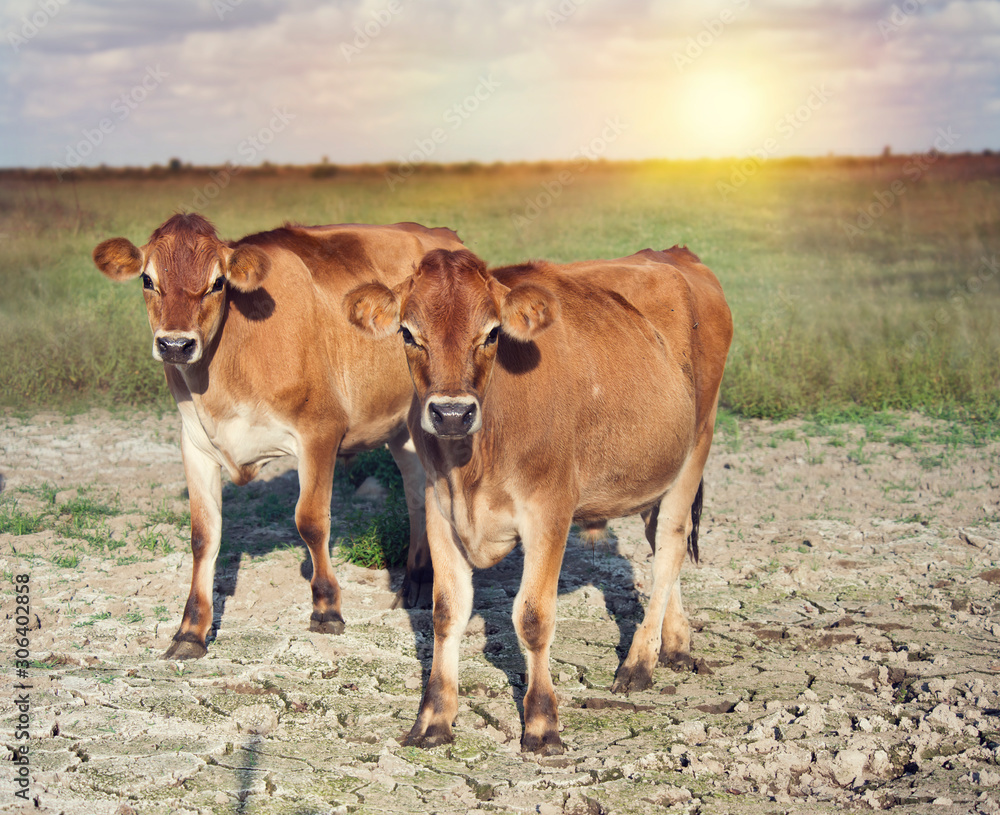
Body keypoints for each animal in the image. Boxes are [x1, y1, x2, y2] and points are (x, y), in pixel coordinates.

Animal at [92, 214, 462, 660]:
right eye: (147, 279)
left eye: (218, 283)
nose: (175, 344)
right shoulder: (194, 443)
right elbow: (203, 536)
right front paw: (190, 631)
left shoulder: (319, 430)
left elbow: (311, 522)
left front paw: (326, 609)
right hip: (402, 427)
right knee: (416, 491)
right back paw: (416, 584)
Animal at [348, 245, 732, 756]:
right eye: (408, 332)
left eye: (492, 332)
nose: (452, 413)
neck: (474, 459)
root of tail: (674, 254)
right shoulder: (438, 506)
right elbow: (447, 611)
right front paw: (434, 718)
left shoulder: (550, 509)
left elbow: (532, 616)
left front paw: (541, 723)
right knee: (659, 542)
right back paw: (674, 643)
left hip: (697, 444)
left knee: (670, 545)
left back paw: (638, 663)